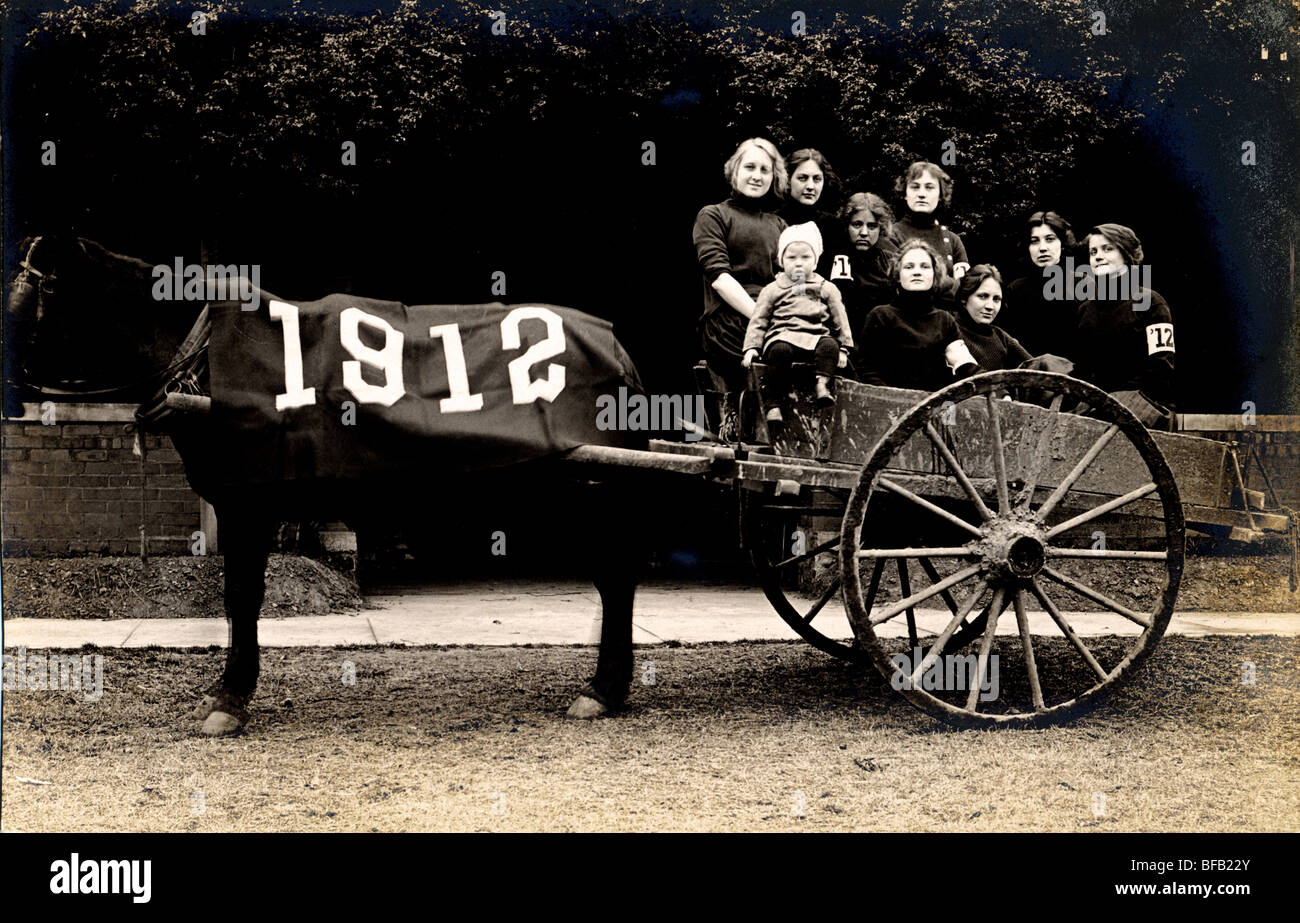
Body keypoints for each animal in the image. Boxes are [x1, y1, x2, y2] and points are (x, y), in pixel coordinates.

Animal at [5, 236, 655, 738]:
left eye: (33, 291)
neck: (206, 359)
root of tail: (616, 348)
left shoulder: (248, 502)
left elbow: (242, 595)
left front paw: (230, 697)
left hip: (591, 489)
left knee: (615, 580)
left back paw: (603, 688)